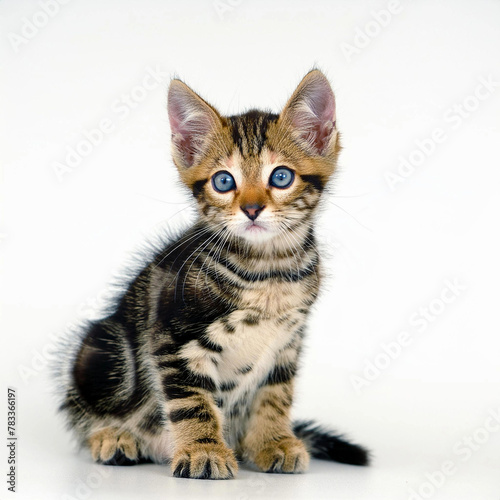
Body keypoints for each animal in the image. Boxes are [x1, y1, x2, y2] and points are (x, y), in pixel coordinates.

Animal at [54, 68, 370, 478]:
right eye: (223, 181)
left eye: (281, 177)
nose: (252, 209)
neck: (268, 270)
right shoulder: (172, 339)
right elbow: (192, 401)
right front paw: (202, 451)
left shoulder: (287, 343)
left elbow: (275, 395)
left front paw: (272, 442)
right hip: (100, 349)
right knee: (84, 410)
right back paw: (114, 437)